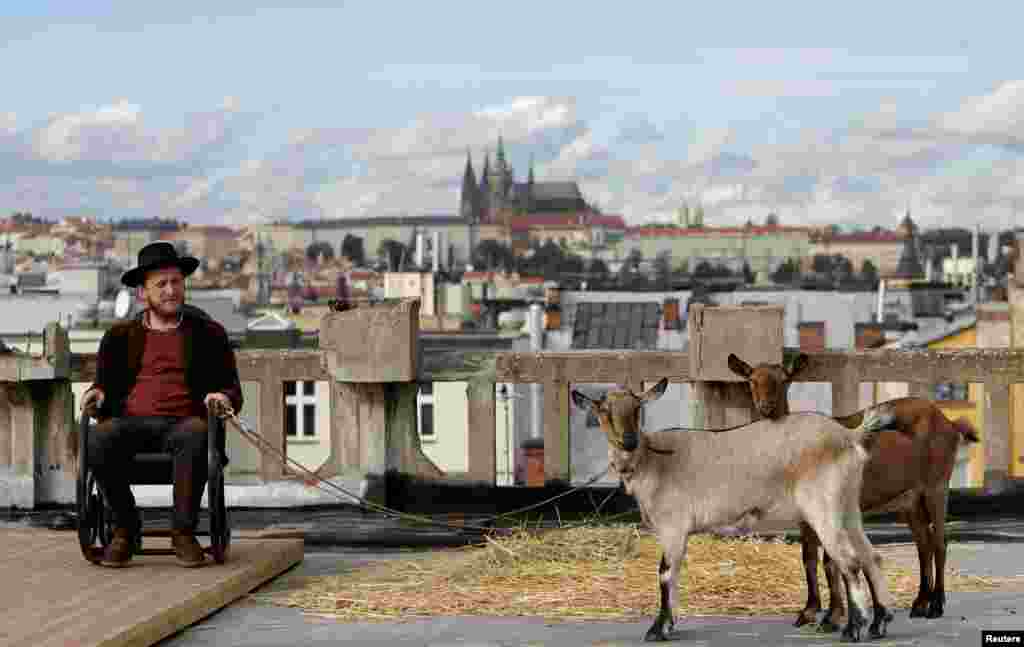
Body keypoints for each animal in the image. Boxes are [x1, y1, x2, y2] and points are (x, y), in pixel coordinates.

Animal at [573, 378, 901, 642]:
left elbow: (666, 573)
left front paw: (658, 628)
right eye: (604, 411)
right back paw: (879, 623)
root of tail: (850, 436)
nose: (629, 442)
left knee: (850, 562)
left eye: (637, 408)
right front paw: (669, 624)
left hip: (823, 507)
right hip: (847, 505)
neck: (652, 461)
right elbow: (673, 573)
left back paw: (854, 629)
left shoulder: (673, 526)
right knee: (871, 556)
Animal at [729, 352, 983, 630]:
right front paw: (809, 611)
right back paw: (919, 604)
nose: (765, 407)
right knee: (923, 543)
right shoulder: (804, 513)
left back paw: (936, 605)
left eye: (784, 379)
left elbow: (830, 560)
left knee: (939, 541)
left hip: (937, 484)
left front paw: (833, 616)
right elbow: (808, 557)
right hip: (910, 499)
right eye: (751, 380)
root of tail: (950, 423)